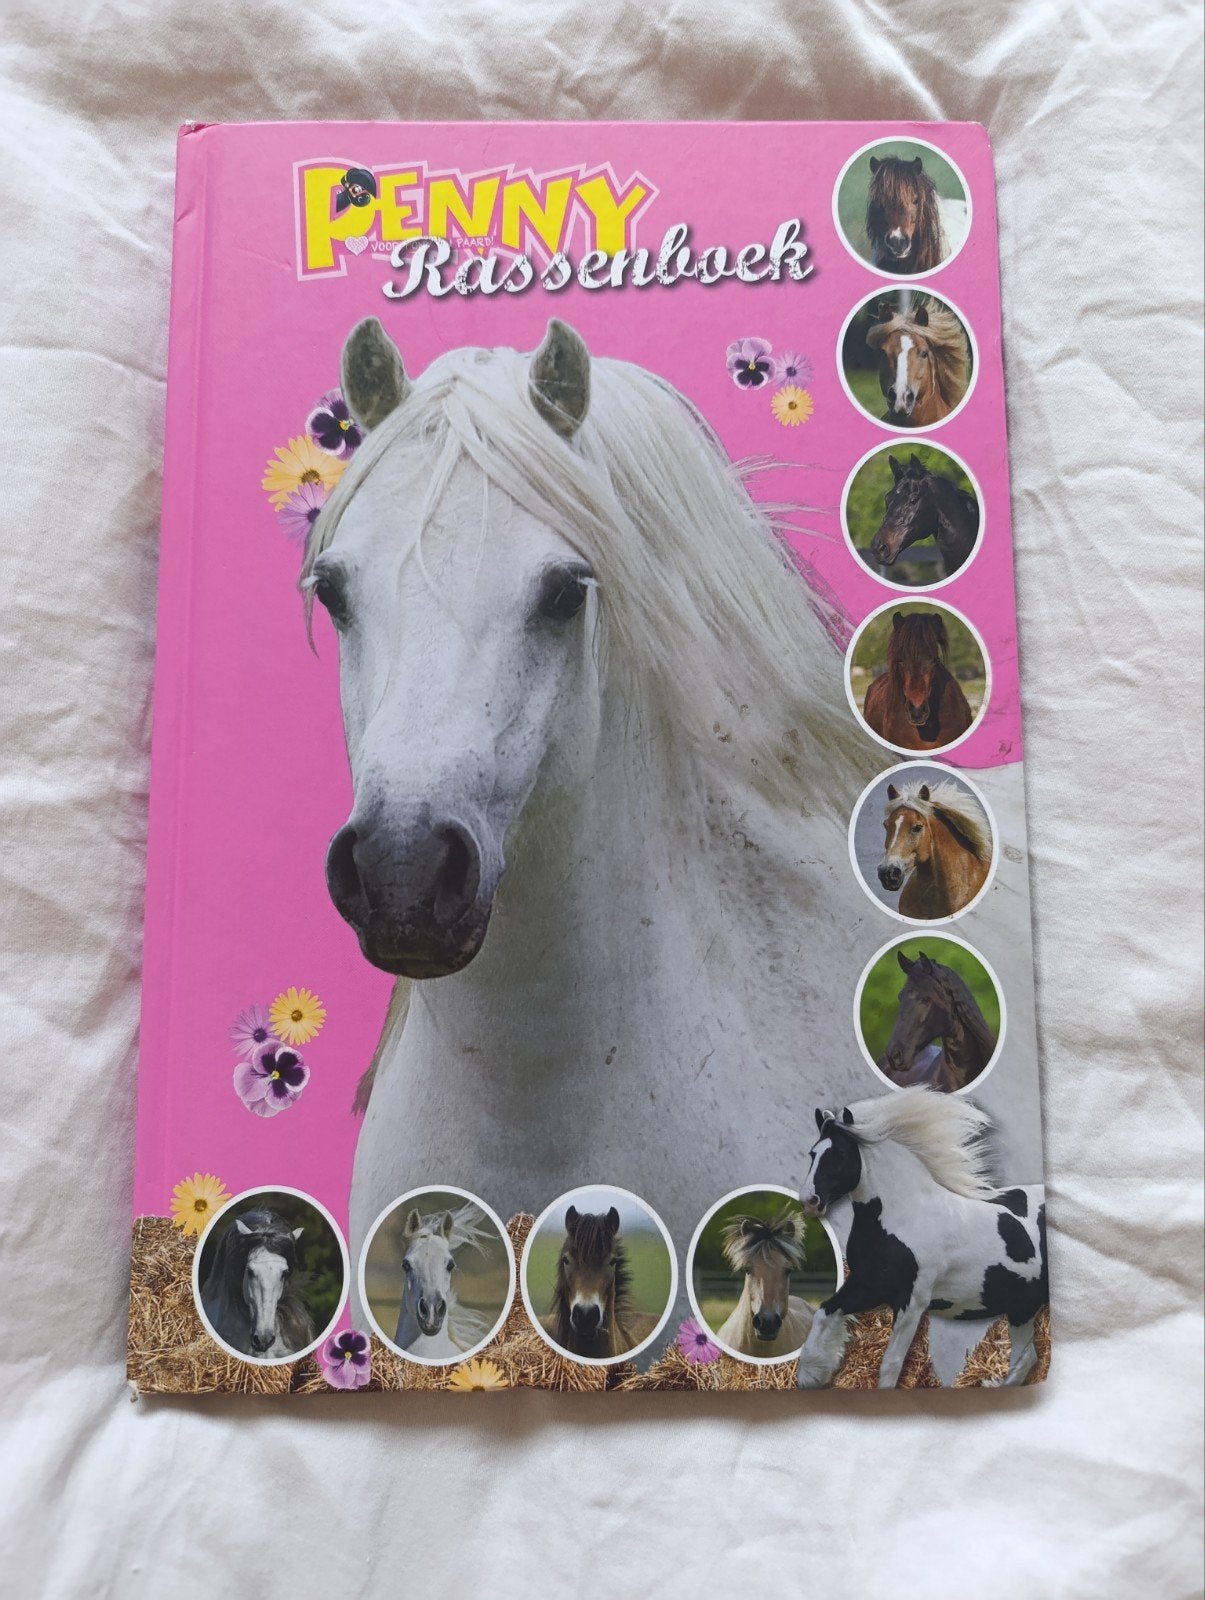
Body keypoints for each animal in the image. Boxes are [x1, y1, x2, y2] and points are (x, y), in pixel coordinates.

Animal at [796, 1089, 1048, 1388]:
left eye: (841, 1154)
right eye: (813, 1153)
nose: (809, 1201)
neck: (906, 1216)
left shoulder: (912, 1302)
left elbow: (891, 1365)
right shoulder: (866, 1286)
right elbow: (823, 1313)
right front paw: (812, 1376)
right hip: (1022, 1307)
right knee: (1026, 1358)